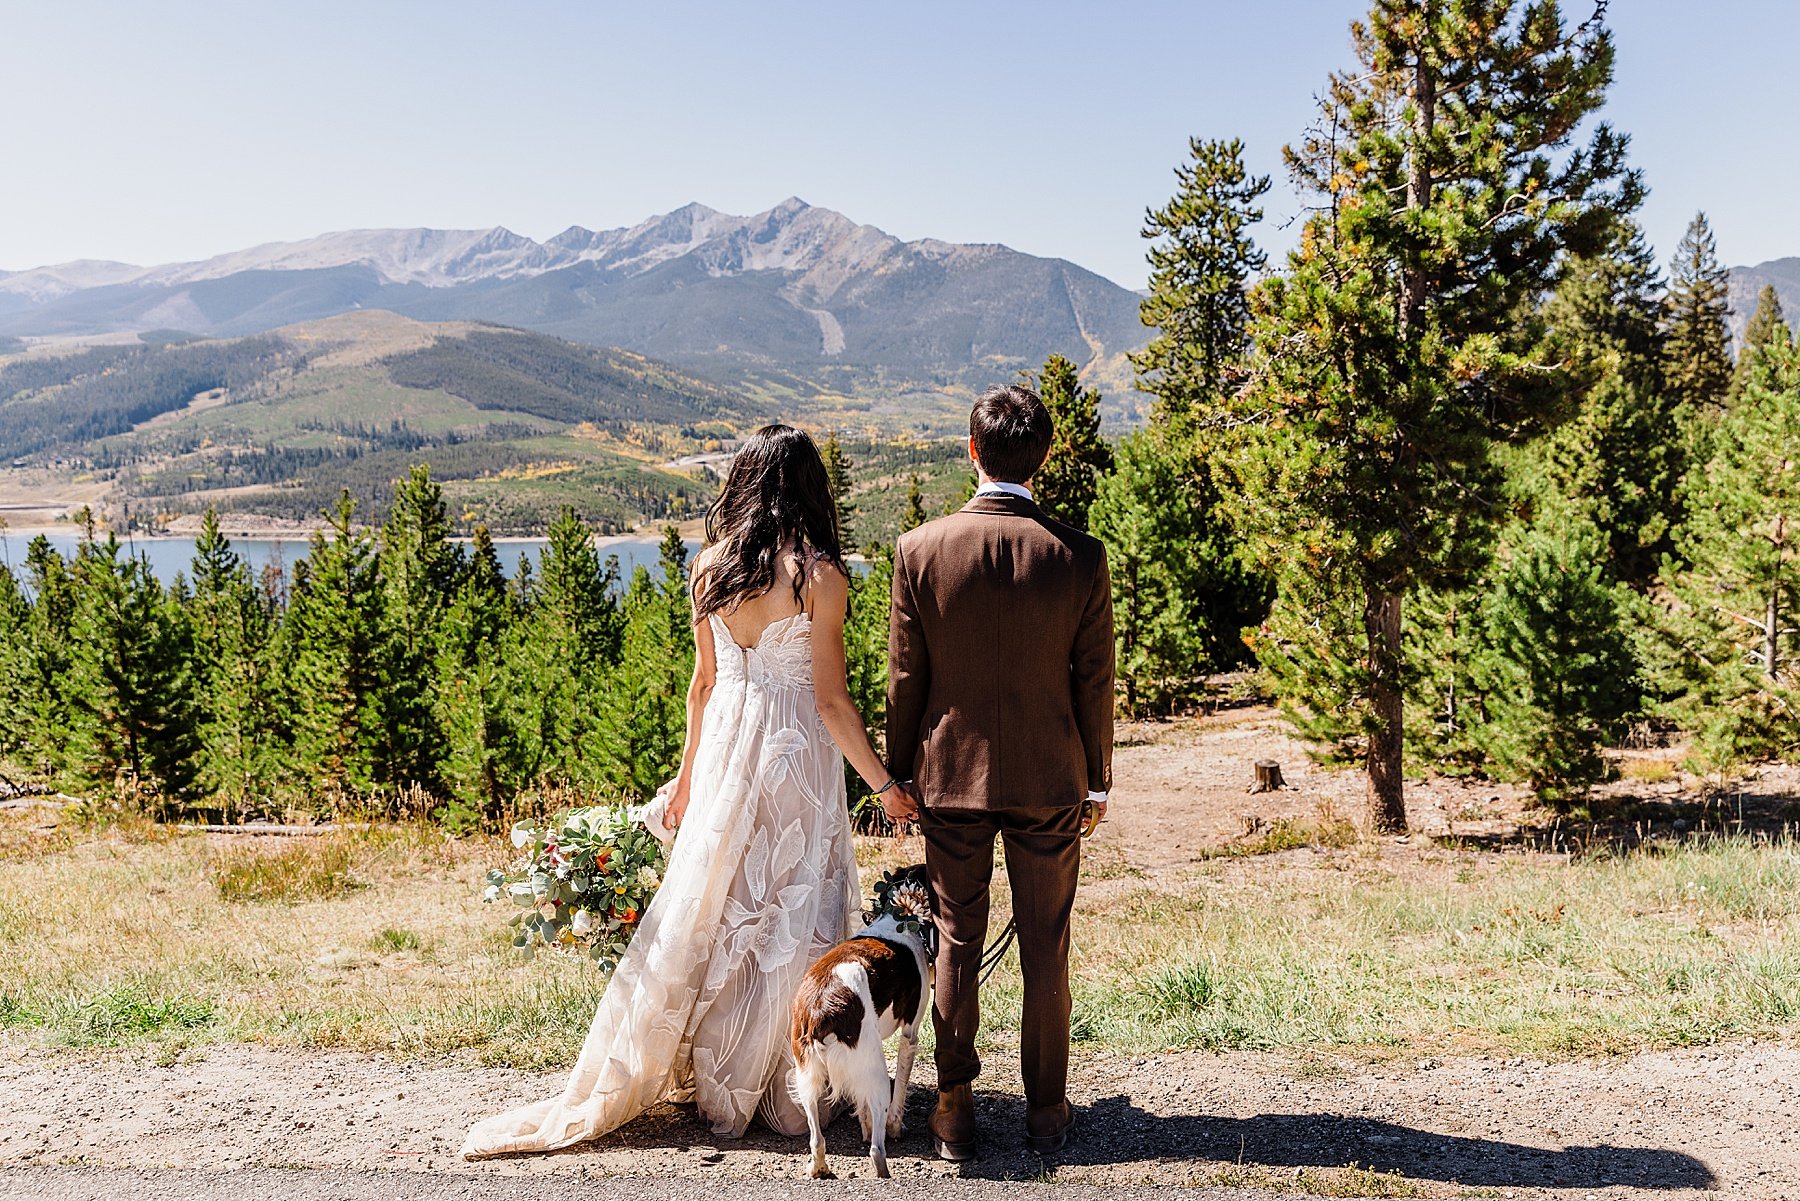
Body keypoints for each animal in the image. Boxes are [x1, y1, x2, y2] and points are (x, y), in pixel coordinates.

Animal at [792, 864, 936, 1181]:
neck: (898, 919)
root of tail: (819, 1008)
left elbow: (861, 1105)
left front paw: (865, 1126)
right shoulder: (910, 1035)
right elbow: (899, 1091)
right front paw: (895, 1127)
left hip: (806, 1073)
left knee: (816, 1139)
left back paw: (819, 1168)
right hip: (877, 1073)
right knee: (876, 1150)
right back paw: (884, 1172)